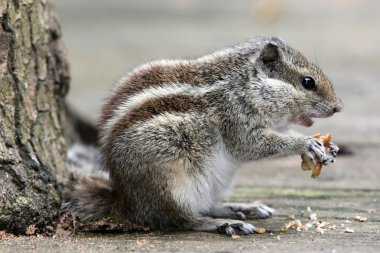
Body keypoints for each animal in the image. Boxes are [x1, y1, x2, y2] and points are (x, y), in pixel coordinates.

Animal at [61, 35, 342, 235]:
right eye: (308, 82)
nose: (338, 107)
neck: (244, 85)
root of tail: (124, 201)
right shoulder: (235, 119)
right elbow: (251, 145)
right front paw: (306, 144)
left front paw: (330, 148)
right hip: (170, 180)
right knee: (179, 219)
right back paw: (223, 224)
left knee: (205, 205)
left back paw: (240, 208)